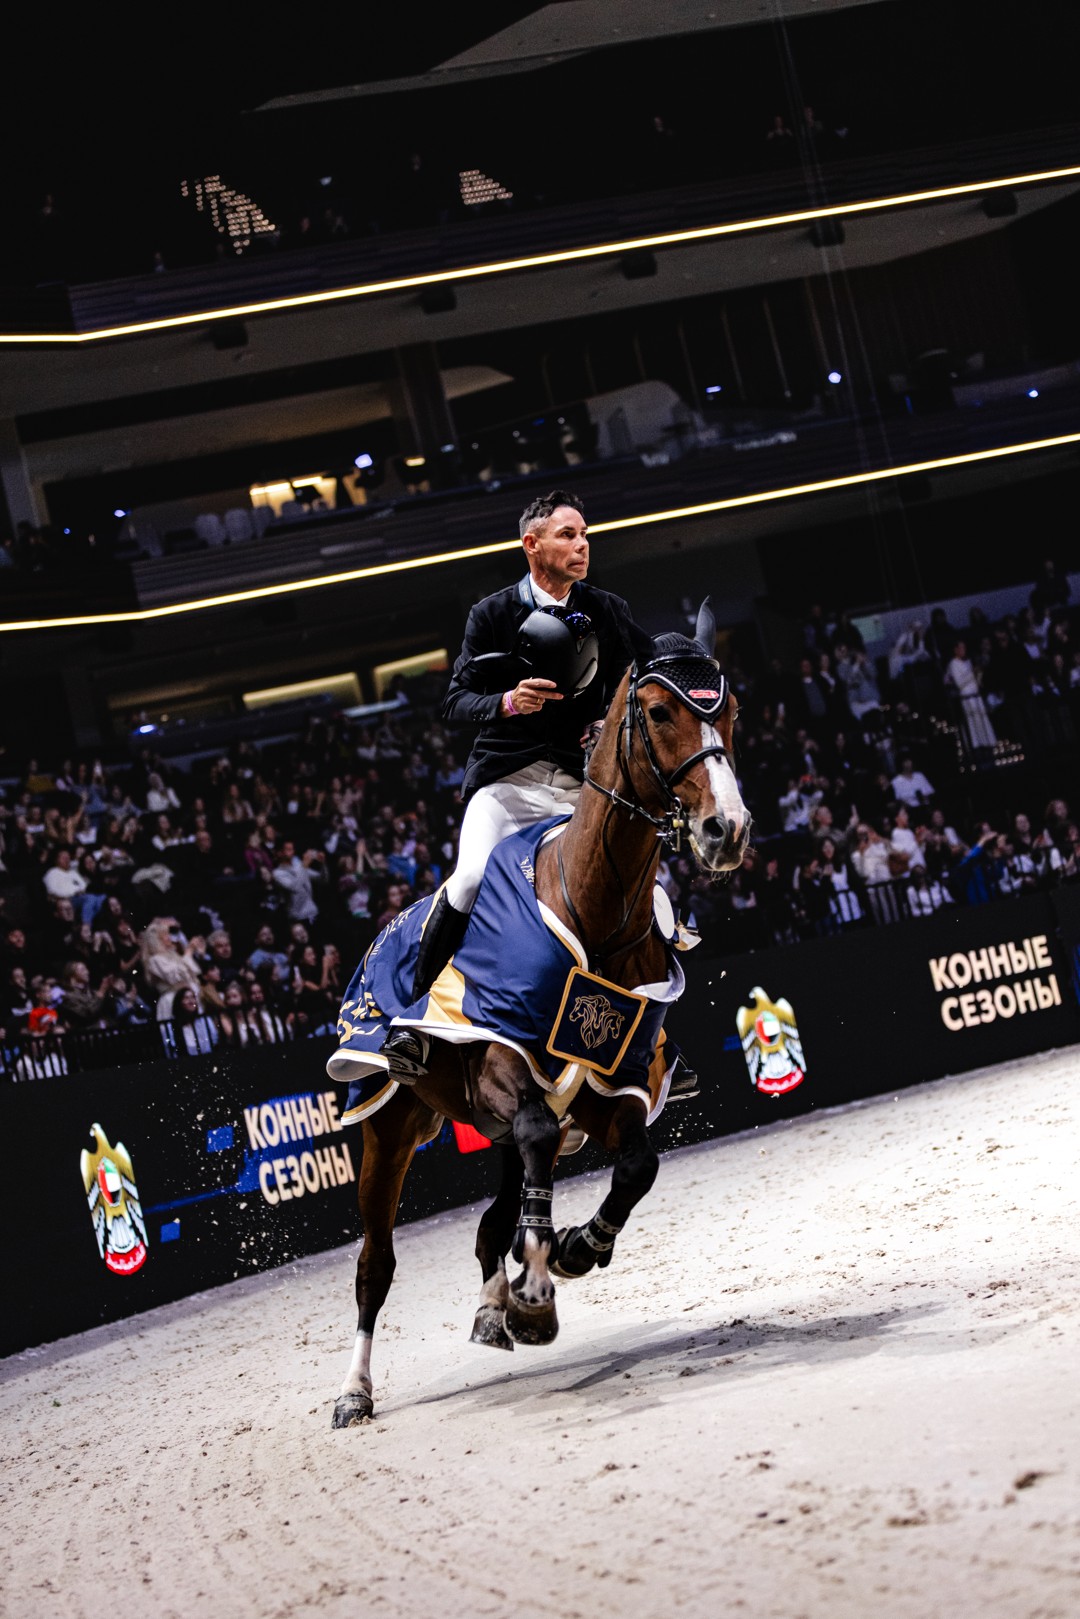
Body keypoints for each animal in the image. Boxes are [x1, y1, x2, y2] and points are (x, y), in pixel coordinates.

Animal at [331, 602, 750, 1427]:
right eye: (659, 712)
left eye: (732, 713)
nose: (728, 830)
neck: (594, 909)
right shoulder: (505, 1069)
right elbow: (534, 1143)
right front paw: (540, 1279)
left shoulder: (611, 1089)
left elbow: (636, 1165)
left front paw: (576, 1249)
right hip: (387, 1126)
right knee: (376, 1262)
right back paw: (356, 1390)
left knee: (493, 1218)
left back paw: (502, 1306)